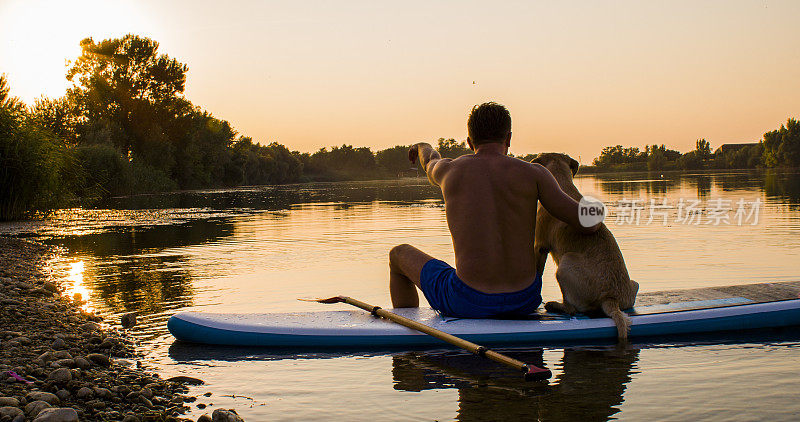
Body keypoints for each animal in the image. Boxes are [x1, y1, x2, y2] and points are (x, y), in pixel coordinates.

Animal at [532, 152, 636, 340]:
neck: (562, 184)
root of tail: (611, 298)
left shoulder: (540, 246)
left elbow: (538, 273)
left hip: (566, 264)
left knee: (572, 309)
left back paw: (554, 305)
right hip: (634, 285)